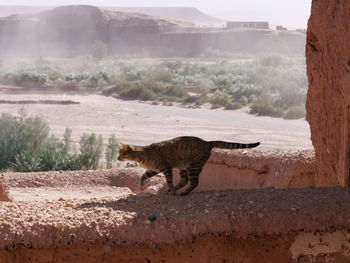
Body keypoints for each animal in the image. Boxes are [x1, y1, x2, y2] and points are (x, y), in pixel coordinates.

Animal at [117, 138, 260, 196]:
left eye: (121, 154)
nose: (117, 158)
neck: (142, 155)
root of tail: (207, 142)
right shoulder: (153, 170)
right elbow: (143, 176)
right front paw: (141, 185)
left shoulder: (165, 168)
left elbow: (169, 181)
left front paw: (173, 191)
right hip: (184, 167)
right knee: (185, 180)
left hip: (193, 165)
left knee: (194, 182)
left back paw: (183, 193)